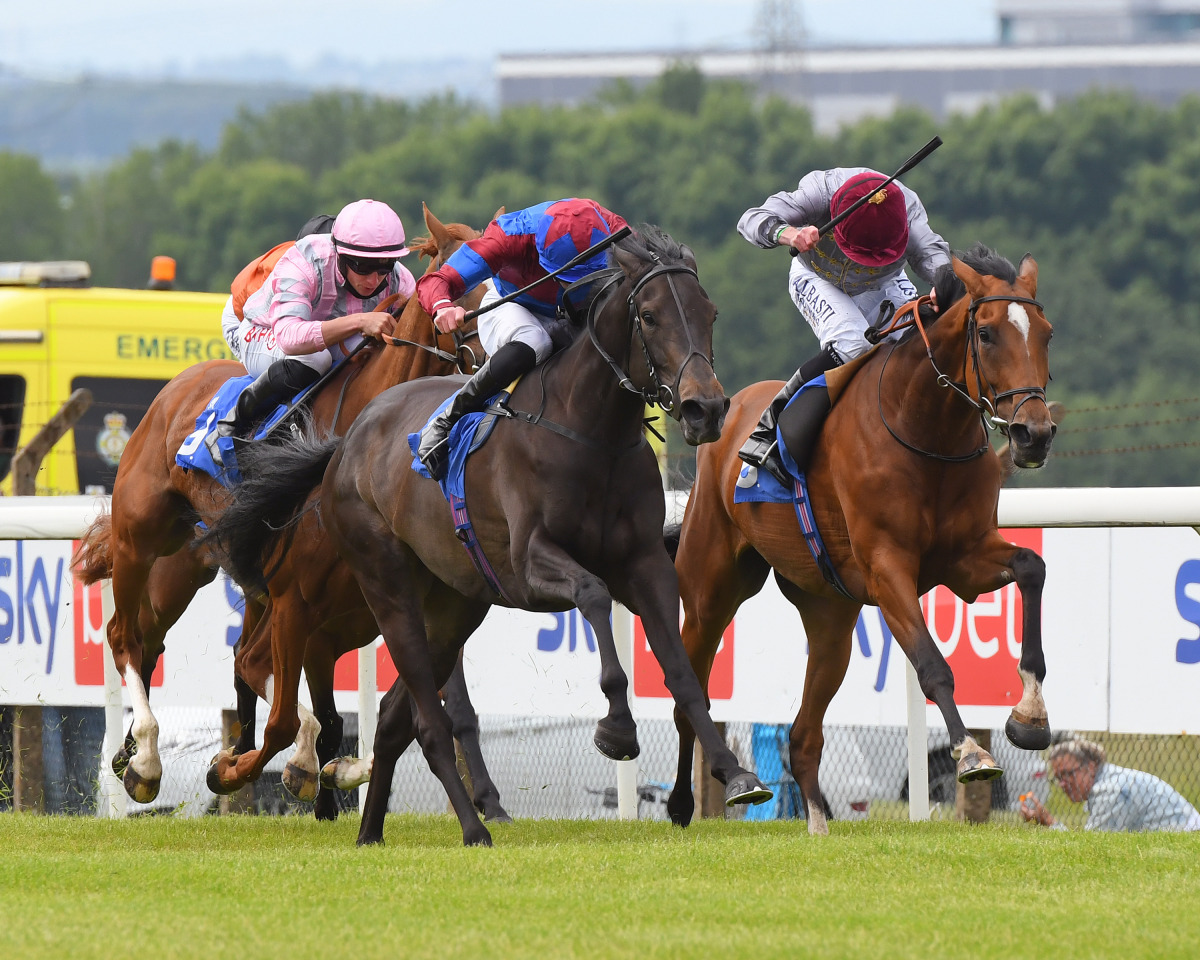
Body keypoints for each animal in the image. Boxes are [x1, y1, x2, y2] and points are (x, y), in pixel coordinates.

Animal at [71, 204, 492, 816]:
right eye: (461, 290)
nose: (491, 365)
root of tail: (173, 389)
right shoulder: (302, 588)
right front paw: (294, 766)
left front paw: (321, 770)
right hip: (139, 535)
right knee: (125, 635)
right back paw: (146, 758)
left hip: (187, 562)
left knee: (155, 640)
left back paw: (136, 756)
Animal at [207, 226, 772, 849]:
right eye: (648, 316)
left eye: (710, 313)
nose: (706, 408)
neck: (589, 432)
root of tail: (347, 442)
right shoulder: (529, 566)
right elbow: (595, 596)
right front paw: (618, 729)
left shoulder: (646, 565)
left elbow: (682, 671)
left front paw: (735, 773)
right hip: (385, 588)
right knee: (425, 720)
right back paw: (472, 826)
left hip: (452, 606)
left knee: (395, 719)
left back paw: (371, 830)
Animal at [672, 243, 1056, 830]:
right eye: (988, 333)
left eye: (1047, 334)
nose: (1032, 434)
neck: (925, 428)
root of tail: (728, 415)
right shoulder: (886, 567)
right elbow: (932, 665)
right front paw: (971, 753)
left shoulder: (964, 559)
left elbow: (1032, 567)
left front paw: (1029, 716)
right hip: (710, 592)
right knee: (686, 693)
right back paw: (686, 801)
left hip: (829, 617)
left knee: (804, 735)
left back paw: (816, 823)